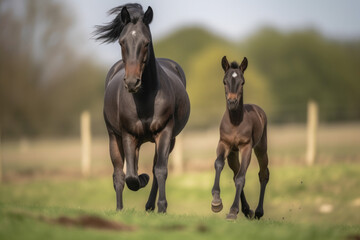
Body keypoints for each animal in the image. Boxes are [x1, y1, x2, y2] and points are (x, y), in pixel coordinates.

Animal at [95, 3, 191, 213]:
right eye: (121, 42)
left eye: (146, 42)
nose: (132, 82)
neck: (145, 99)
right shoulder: (128, 135)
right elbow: (130, 176)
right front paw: (142, 178)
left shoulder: (165, 132)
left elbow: (160, 170)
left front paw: (162, 206)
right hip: (114, 137)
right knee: (118, 174)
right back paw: (120, 209)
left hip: (168, 140)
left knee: (155, 167)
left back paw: (149, 205)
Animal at [211, 55, 270, 219]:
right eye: (224, 81)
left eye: (242, 82)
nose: (232, 102)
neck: (235, 122)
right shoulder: (224, 144)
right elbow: (219, 163)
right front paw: (216, 202)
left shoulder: (246, 147)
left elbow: (241, 178)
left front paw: (232, 211)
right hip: (233, 153)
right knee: (235, 172)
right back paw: (246, 210)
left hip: (261, 148)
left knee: (263, 174)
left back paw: (258, 211)